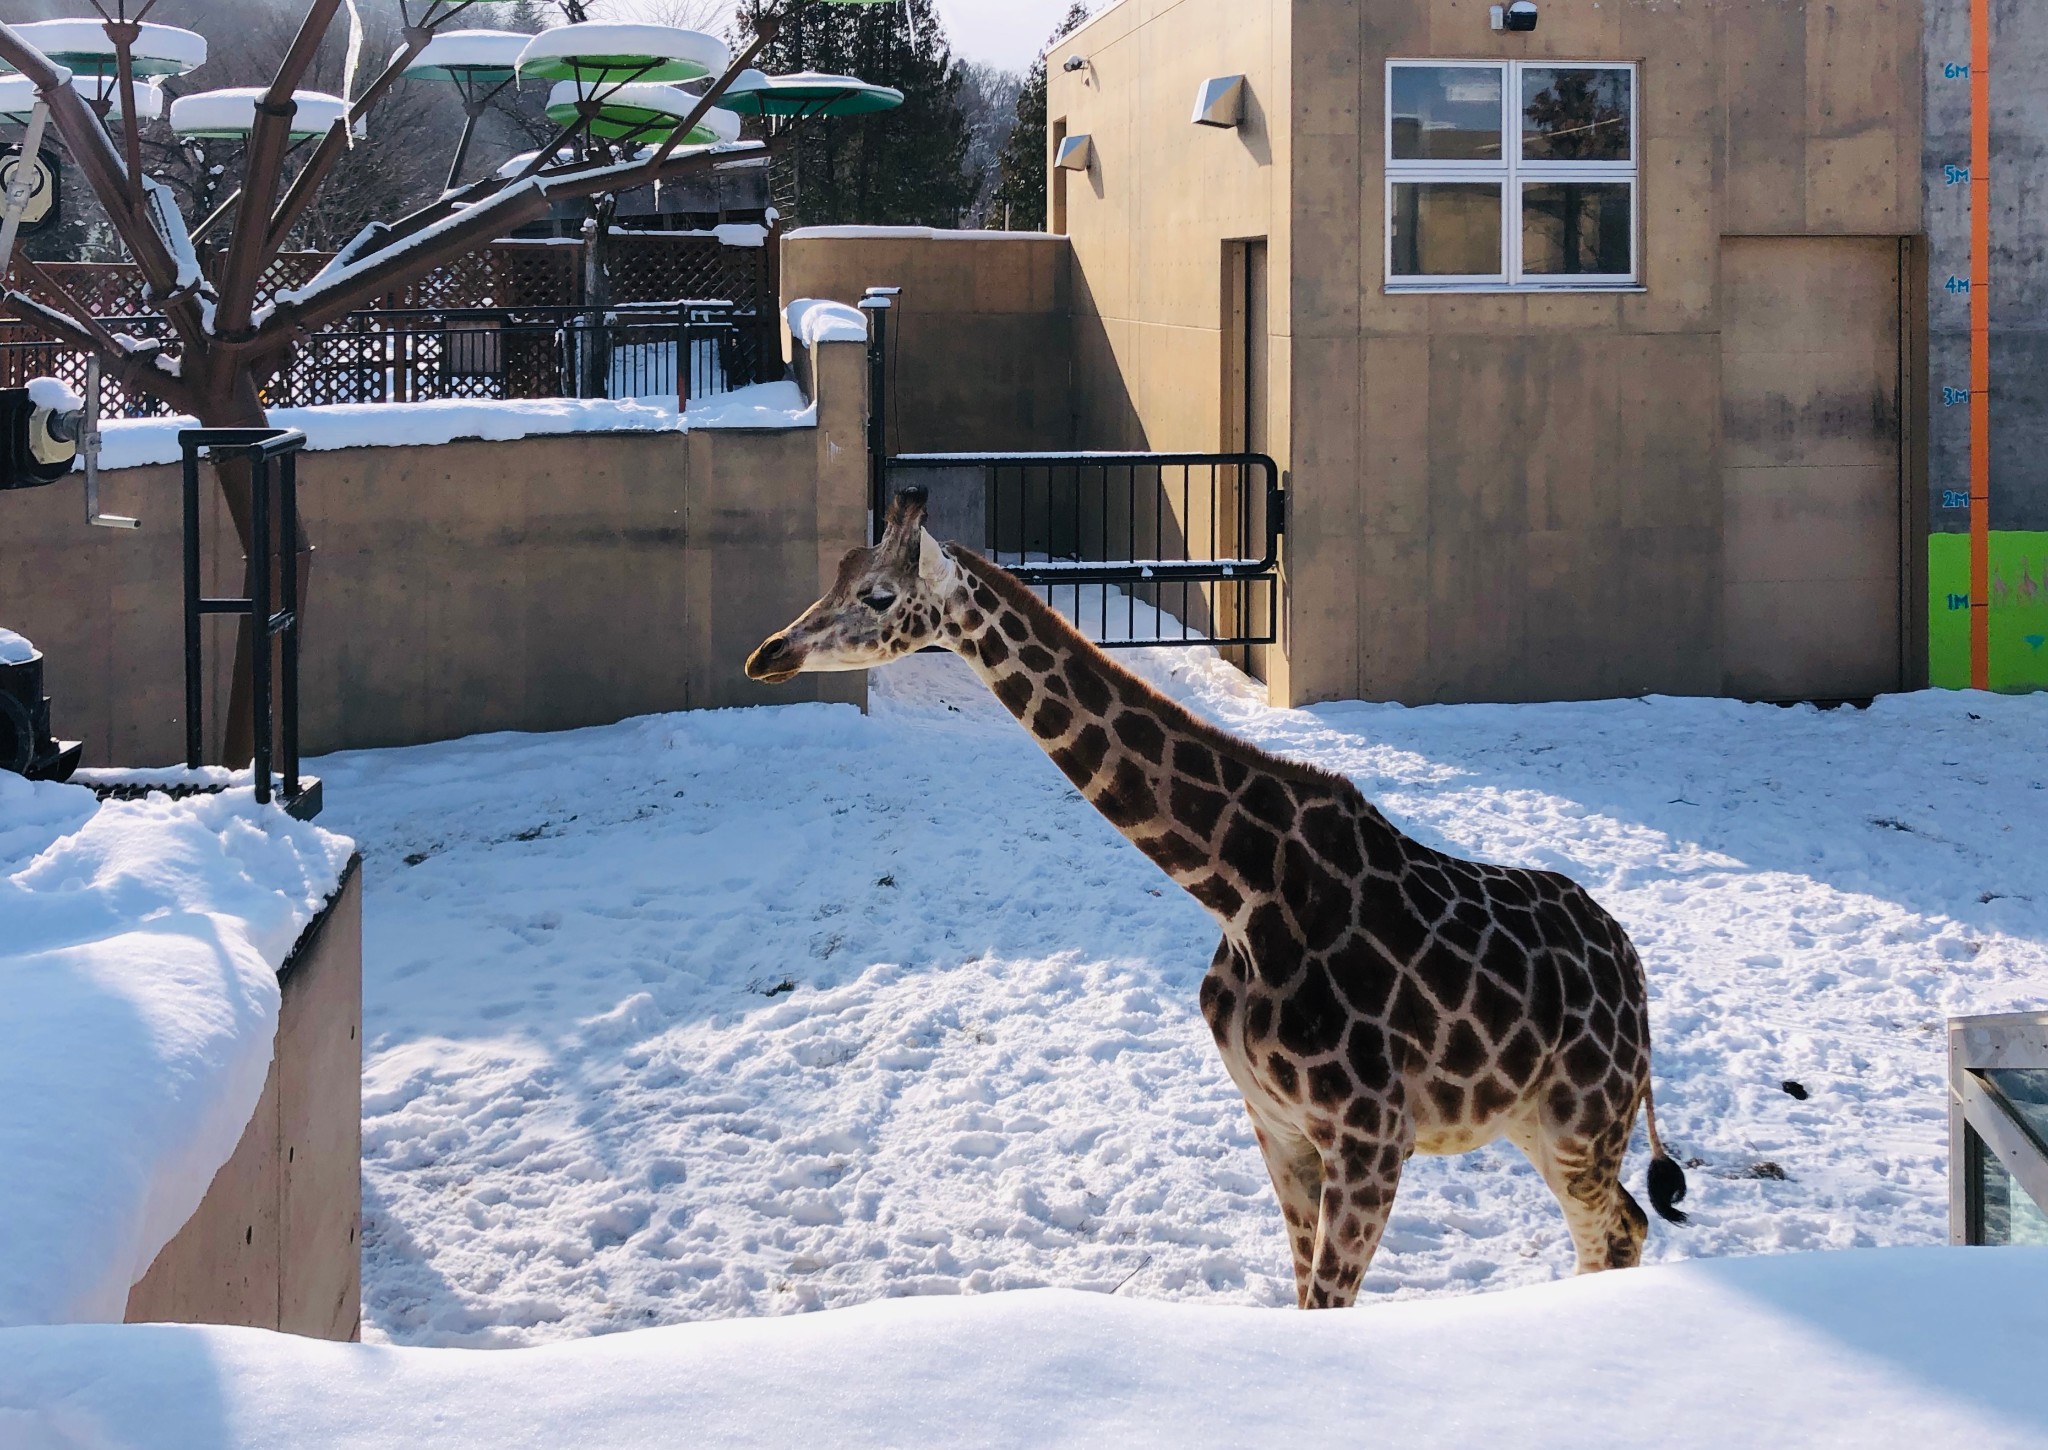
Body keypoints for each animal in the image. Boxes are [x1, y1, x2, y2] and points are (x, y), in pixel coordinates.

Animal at [745, 489, 1687, 1310]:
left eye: (877, 593)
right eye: (835, 574)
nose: (768, 654)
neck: (1239, 893)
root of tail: (1633, 970)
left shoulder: (1372, 1138)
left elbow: (1327, 1304)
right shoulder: (1277, 1125)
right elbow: (1303, 1297)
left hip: (1582, 1121)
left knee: (1618, 1231)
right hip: (1538, 1122)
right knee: (1622, 1230)